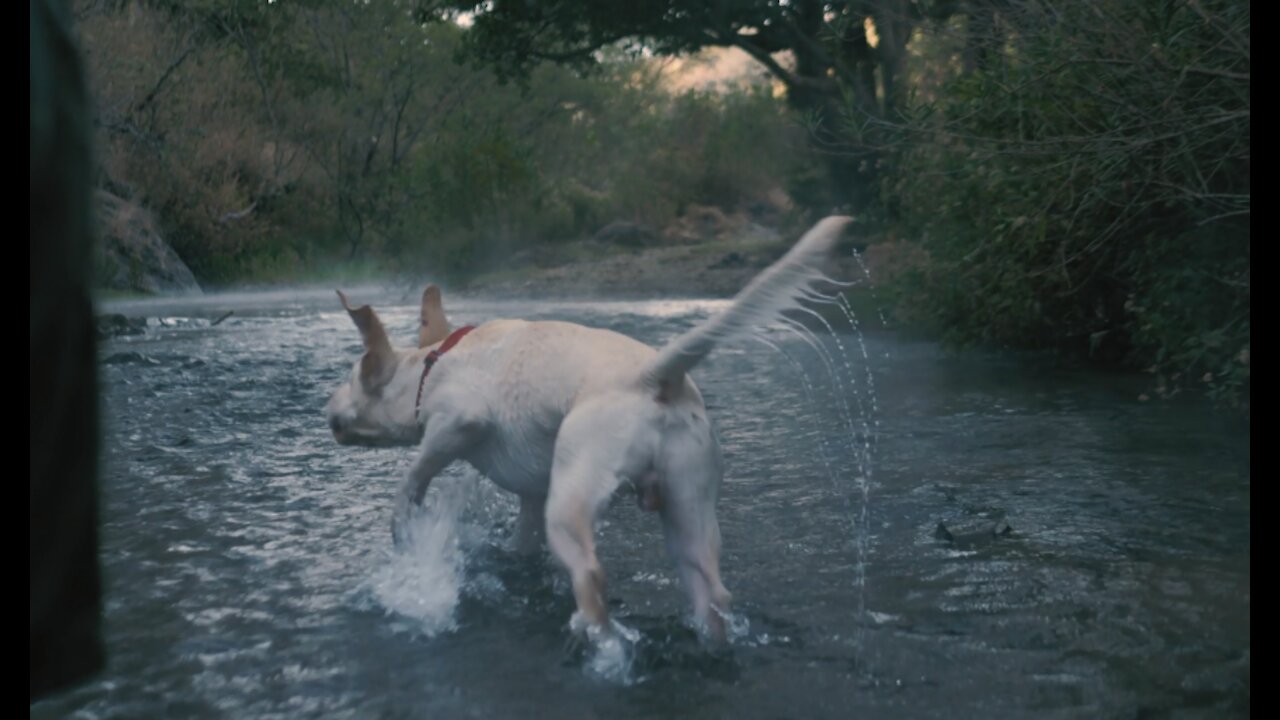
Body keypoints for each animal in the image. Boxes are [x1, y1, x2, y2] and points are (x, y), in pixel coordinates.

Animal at [327, 213, 849, 638]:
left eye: (350, 377)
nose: (324, 409)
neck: (432, 364)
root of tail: (656, 376)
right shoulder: (532, 497)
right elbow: (521, 540)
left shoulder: (458, 422)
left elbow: (411, 478)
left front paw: (404, 527)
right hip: (689, 510)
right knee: (712, 595)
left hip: (572, 501)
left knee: (592, 581)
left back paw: (597, 642)